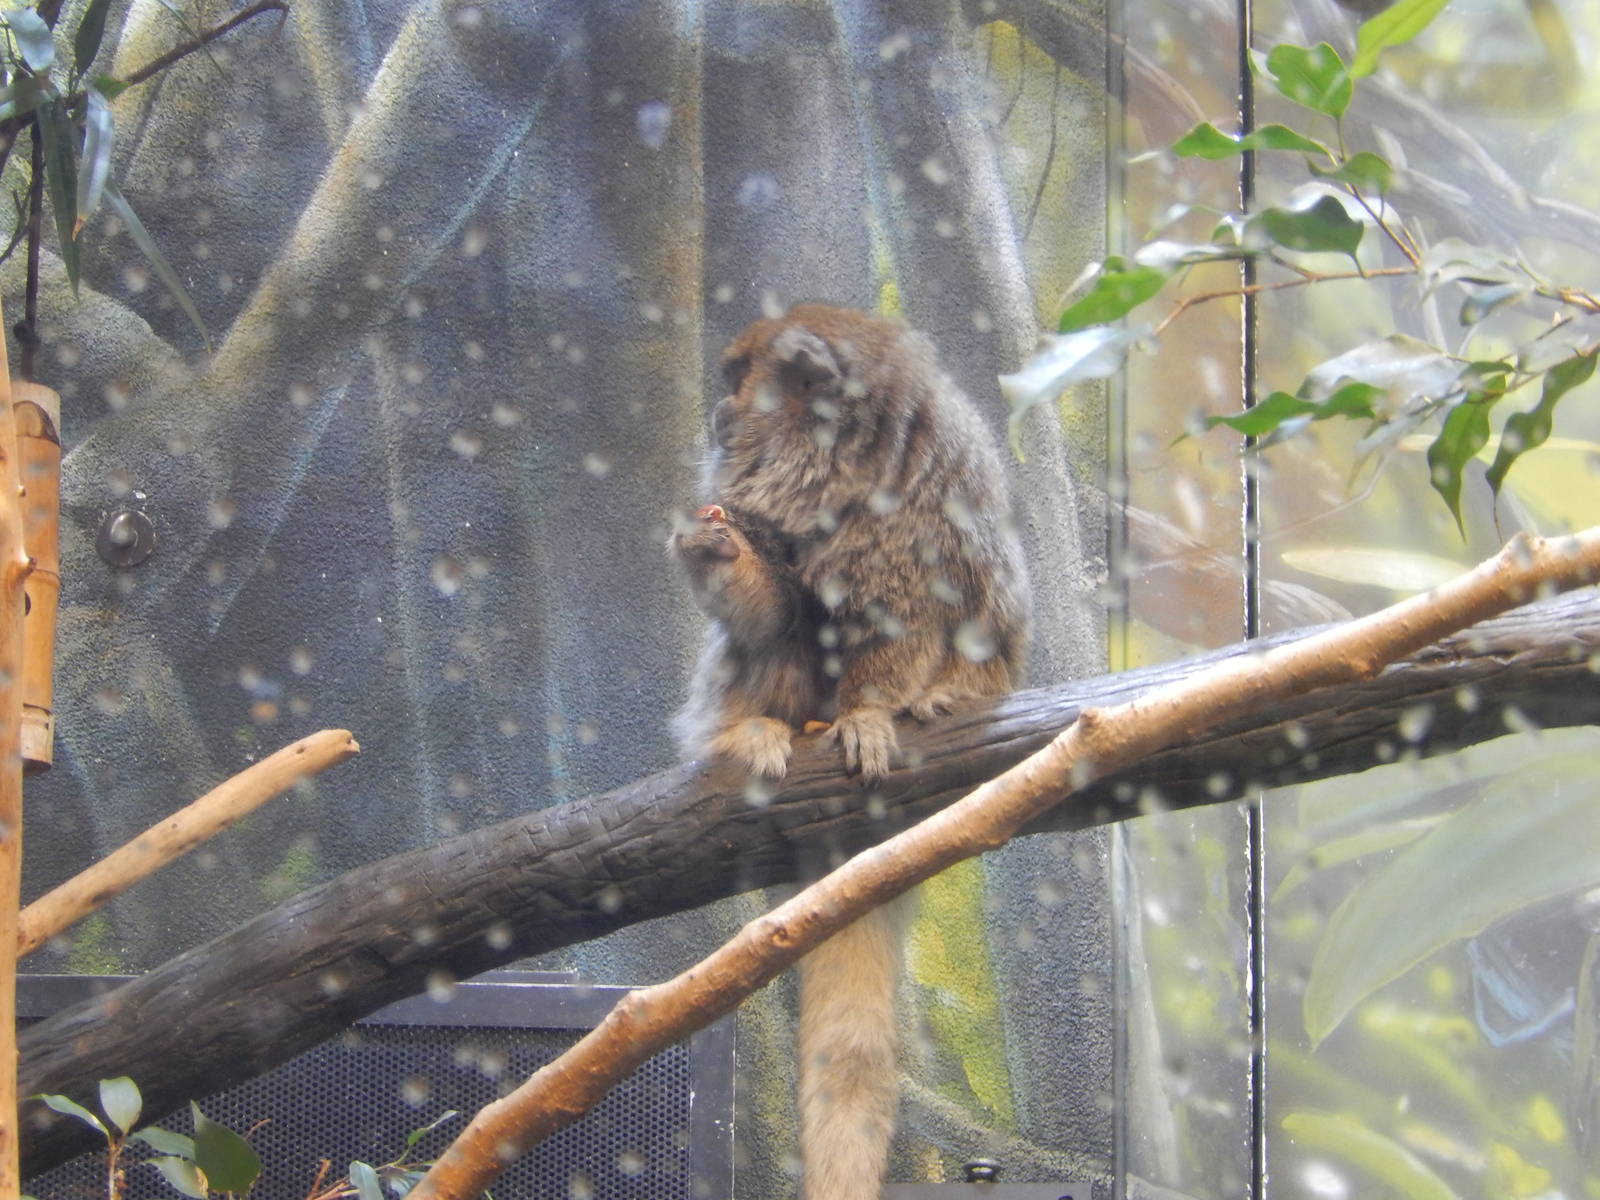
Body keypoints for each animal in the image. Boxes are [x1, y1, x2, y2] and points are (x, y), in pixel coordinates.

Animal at [682, 303, 1031, 1200]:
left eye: (744, 381)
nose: (718, 411)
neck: (842, 474)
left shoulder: (923, 513)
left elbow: (912, 610)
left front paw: (875, 714)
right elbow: (771, 604)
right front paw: (722, 555)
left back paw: (934, 700)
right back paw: (756, 729)